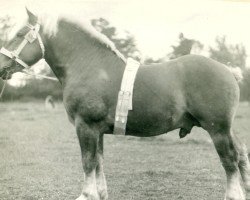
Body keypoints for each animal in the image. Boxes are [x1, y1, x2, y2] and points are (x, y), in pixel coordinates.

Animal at [0, 9, 249, 200]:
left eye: (20, 34)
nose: (1, 65)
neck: (91, 66)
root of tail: (228, 70)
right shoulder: (97, 130)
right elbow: (98, 161)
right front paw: (100, 194)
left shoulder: (85, 126)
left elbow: (88, 161)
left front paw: (86, 195)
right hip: (226, 129)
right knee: (241, 155)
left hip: (217, 130)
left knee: (230, 160)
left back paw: (233, 195)